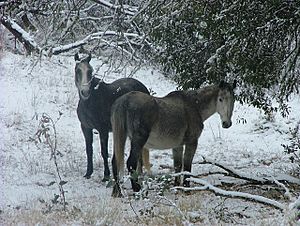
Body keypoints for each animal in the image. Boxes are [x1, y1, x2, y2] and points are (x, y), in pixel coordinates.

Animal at [75, 53, 150, 182]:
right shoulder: (85, 127)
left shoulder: (103, 130)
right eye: (77, 70)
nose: (85, 92)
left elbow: (104, 152)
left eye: (90, 71)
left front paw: (106, 175)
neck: (90, 102)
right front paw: (88, 173)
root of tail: (144, 88)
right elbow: (89, 150)